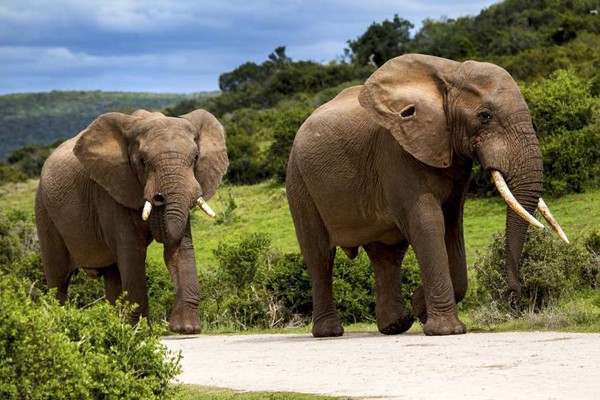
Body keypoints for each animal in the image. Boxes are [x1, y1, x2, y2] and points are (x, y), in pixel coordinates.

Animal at [35, 109, 227, 334]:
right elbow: (132, 253)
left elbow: (179, 249)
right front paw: (141, 332)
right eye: (142, 161)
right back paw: (59, 327)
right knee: (58, 278)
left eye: (196, 158)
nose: (159, 197)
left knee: (112, 276)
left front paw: (187, 329)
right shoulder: (111, 191)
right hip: (44, 211)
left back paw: (113, 324)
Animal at [286, 54, 568, 338]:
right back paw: (329, 332)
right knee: (319, 255)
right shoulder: (396, 152)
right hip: (298, 181)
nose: (514, 294)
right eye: (485, 116)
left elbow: (452, 225)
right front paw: (446, 330)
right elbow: (427, 223)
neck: (449, 73)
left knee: (387, 254)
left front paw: (419, 306)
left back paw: (395, 325)